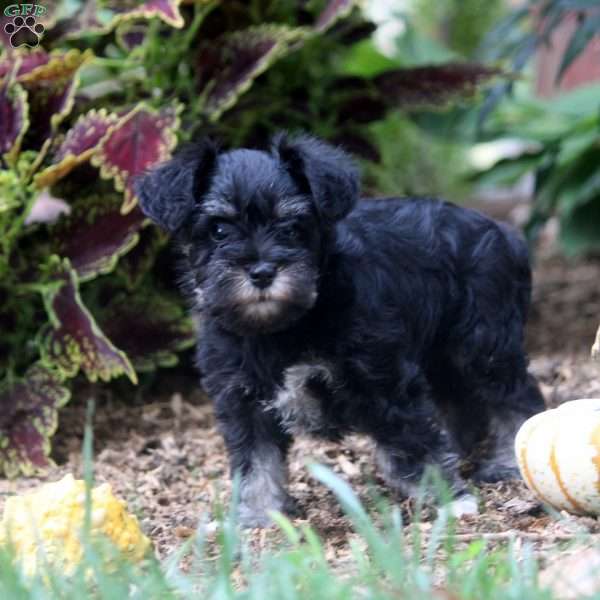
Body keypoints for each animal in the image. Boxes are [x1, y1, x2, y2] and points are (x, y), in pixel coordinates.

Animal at [135, 135, 544, 524]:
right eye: (218, 229)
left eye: (291, 227)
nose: (262, 271)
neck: (284, 326)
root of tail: (503, 232)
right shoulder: (243, 399)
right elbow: (255, 460)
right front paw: (257, 514)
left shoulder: (384, 377)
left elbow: (414, 438)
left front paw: (450, 499)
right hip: (443, 355)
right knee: (460, 404)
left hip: (481, 344)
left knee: (514, 397)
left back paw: (506, 460)